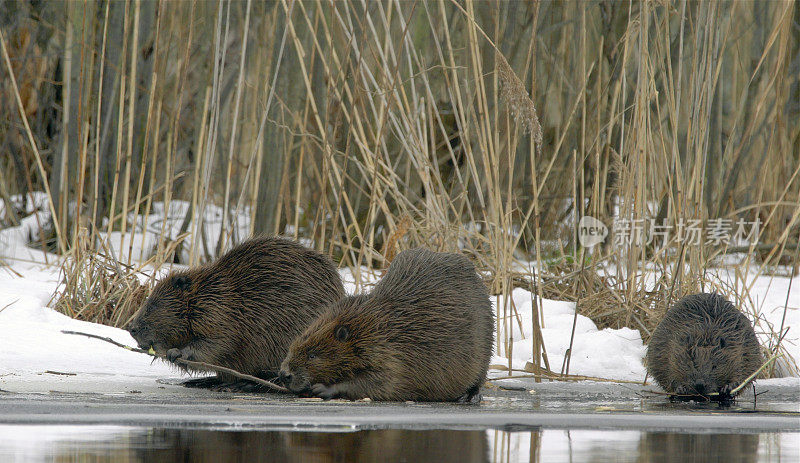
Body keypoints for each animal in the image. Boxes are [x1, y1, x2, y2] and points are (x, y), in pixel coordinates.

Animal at [126, 236, 346, 392]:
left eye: (154, 304)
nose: (132, 328)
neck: (209, 293)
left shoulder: (218, 314)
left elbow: (217, 343)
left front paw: (176, 352)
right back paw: (204, 382)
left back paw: (239, 385)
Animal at [280, 248, 494, 404]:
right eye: (292, 348)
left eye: (312, 355)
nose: (284, 374)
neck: (371, 324)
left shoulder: (391, 354)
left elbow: (380, 382)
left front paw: (322, 388)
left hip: (485, 343)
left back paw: (470, 397)